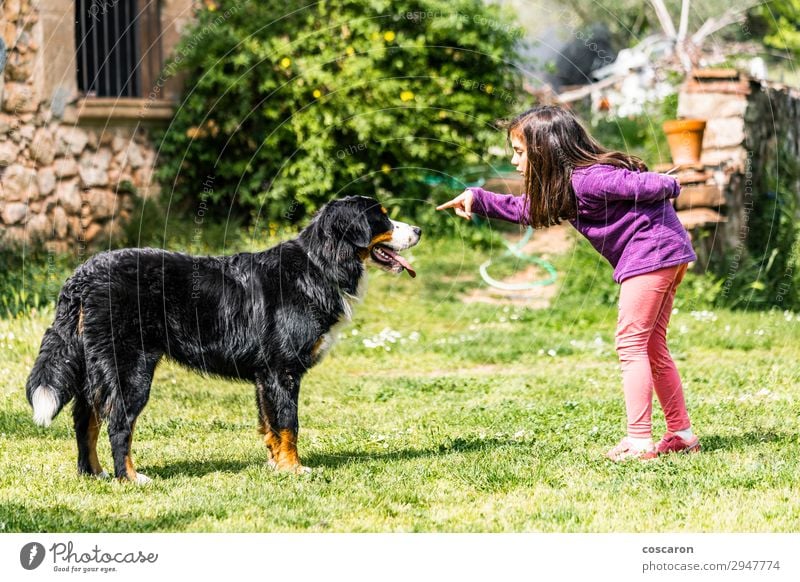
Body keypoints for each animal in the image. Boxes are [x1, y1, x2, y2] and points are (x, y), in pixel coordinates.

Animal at [25, 198, 422, 482]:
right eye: (383, 219)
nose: (418, 229)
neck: (320, 265)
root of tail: (83, 274)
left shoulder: (265, 376)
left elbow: (271, 426)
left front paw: (276, 467)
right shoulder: (282, 371)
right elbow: (289, 425)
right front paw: (295, 470)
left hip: (95, 367)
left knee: (85, 420)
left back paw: (93, 474)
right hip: (130, 369)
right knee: (118, 423)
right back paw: (130, 477)